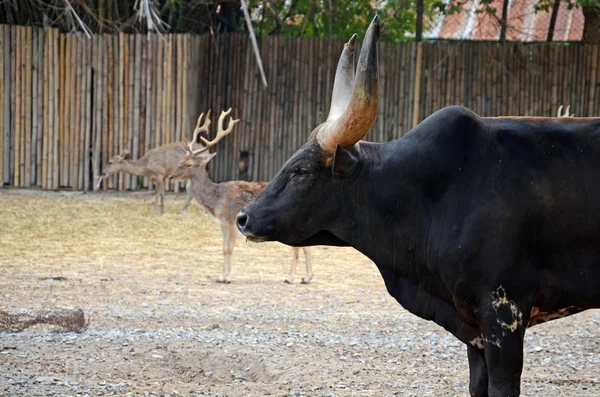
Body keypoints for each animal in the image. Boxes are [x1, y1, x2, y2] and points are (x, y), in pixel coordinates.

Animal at [166, 107, 312, 282]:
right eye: (181, 160)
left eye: (189, 164)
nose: (170, 177)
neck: (216, 202)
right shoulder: (222, 224)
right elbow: (223, 249)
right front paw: (221, 276)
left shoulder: (230, 221)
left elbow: (229, 249)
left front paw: (228, 277)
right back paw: (306, 278)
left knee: (299, 247)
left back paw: (291, 278)